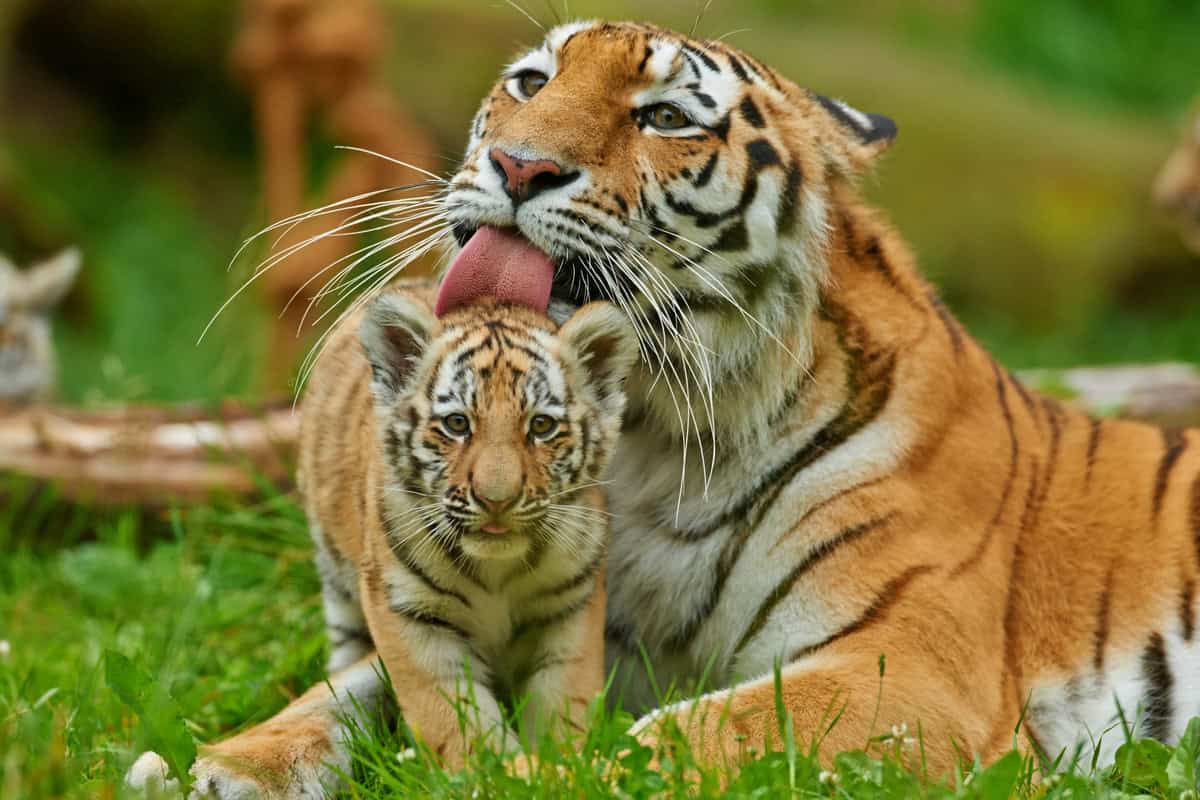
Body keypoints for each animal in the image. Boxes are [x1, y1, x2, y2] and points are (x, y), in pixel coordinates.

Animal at [149, 19, 1199, 798]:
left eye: (661, 116)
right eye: (531, 81)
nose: (519, 167)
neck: (656, 438)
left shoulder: (911, 666)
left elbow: (681, 738)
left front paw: (525, 778)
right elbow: (356, 686)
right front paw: (224, 762)